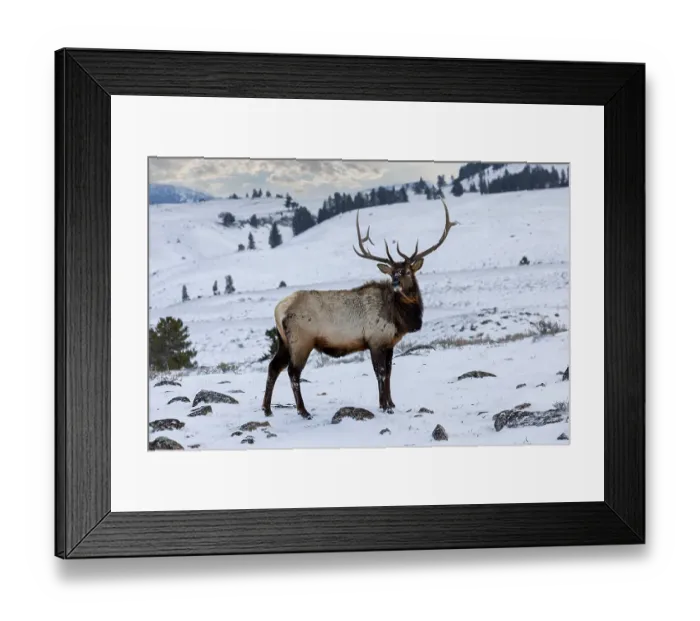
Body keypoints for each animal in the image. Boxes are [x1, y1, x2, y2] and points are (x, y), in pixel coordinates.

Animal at [261, 198, 456, 419]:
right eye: (392, 273)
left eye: (407, 271)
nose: (396, 282)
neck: (398, 317)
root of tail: (279, 310)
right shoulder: (375, 340)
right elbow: (380, 373)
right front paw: (384, 406)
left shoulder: (389, 343)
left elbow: (389, 372)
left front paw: (391, 402)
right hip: (301, 340)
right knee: (293, 372)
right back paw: (303, 411)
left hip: (283, 341)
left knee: (273, 367)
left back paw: (267, 409)